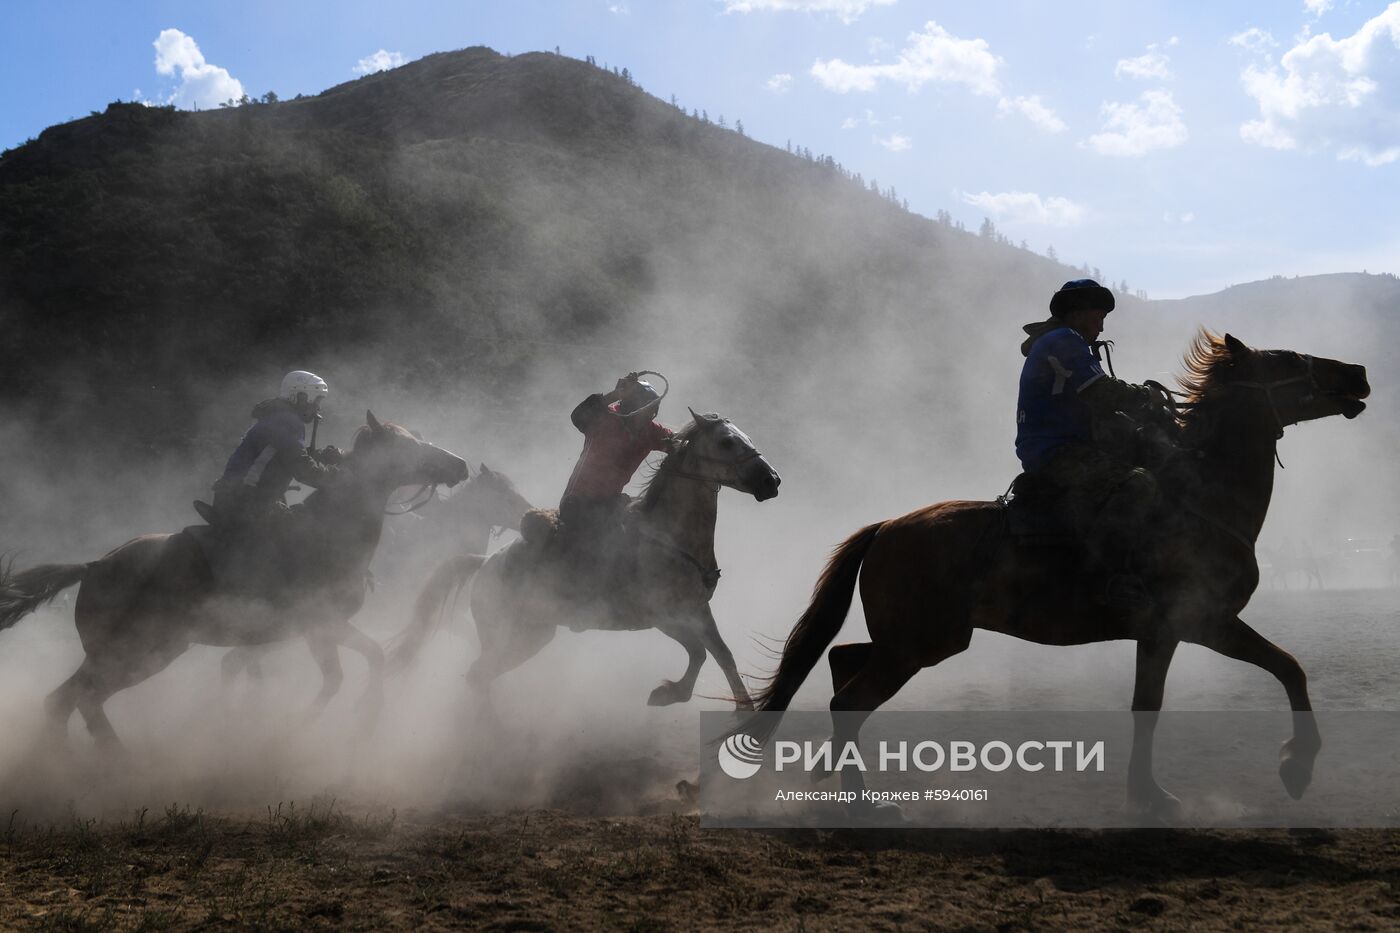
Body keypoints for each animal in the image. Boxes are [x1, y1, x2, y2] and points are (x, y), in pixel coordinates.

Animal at [0, 414, 470, 750]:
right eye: (406, 446)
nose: (459, 463)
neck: (328, 530)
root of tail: (95, 565)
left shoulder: (312, 631)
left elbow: (365, 659)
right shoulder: (320, 626)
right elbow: (342, 674)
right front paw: (306, 723)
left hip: (126, 654)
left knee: (64, 702)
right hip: (140, 653)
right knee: (79, 700)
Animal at [394, 411, 784, 708]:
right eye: (726, 442)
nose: (772, 480)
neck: (668, 536)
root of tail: (486, 562)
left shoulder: (698, 611)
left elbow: (722, 656)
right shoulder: (666, 617)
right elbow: (702, 653)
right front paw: (670, 694)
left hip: (532, 636)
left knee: (481, 675)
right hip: (512, 637)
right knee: (478, 674)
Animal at [744, 332, 1366, 812]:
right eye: (1287, 359)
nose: (1357, 372)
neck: (1201, 497)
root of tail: (886, 527)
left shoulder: (1161, 635)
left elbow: (1150, 706)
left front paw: (1146, 793)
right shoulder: (1202, 623)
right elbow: (1289, 669)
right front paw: (1296, 768)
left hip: (909, 641)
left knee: (841, 661)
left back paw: (839, 779)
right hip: (920, 645)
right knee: (850, 699)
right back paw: (862, 804)